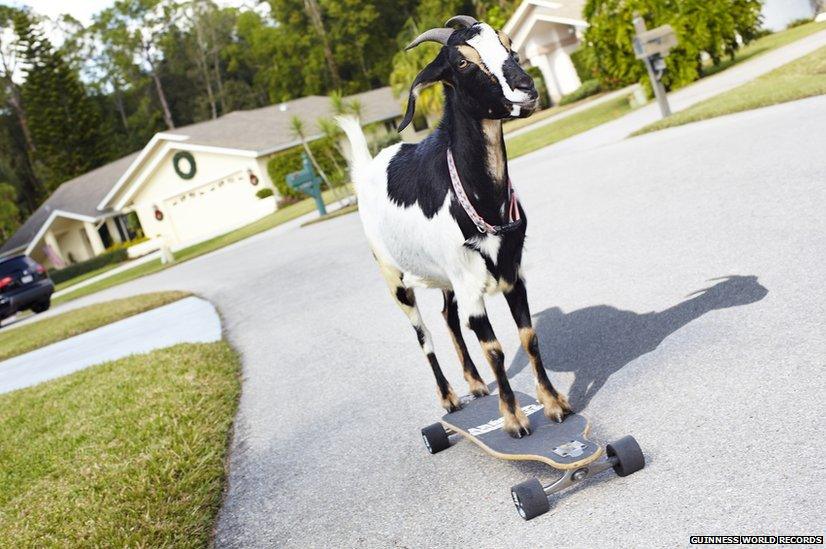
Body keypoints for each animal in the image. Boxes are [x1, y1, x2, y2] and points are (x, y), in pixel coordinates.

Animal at [338, 13, 568, 436]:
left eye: (508, 44)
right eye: (462, 61)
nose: (526, 88)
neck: (481, 200)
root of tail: (366, 170)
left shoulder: (512, 273)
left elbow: (528, 336)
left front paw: (554, 403)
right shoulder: (470, 284)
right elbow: (494, 349)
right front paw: (513, 420)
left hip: (446, 277)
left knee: (448, 317)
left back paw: (475, 384)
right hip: (394, 278)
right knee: (423, 333)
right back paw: (448, 397)